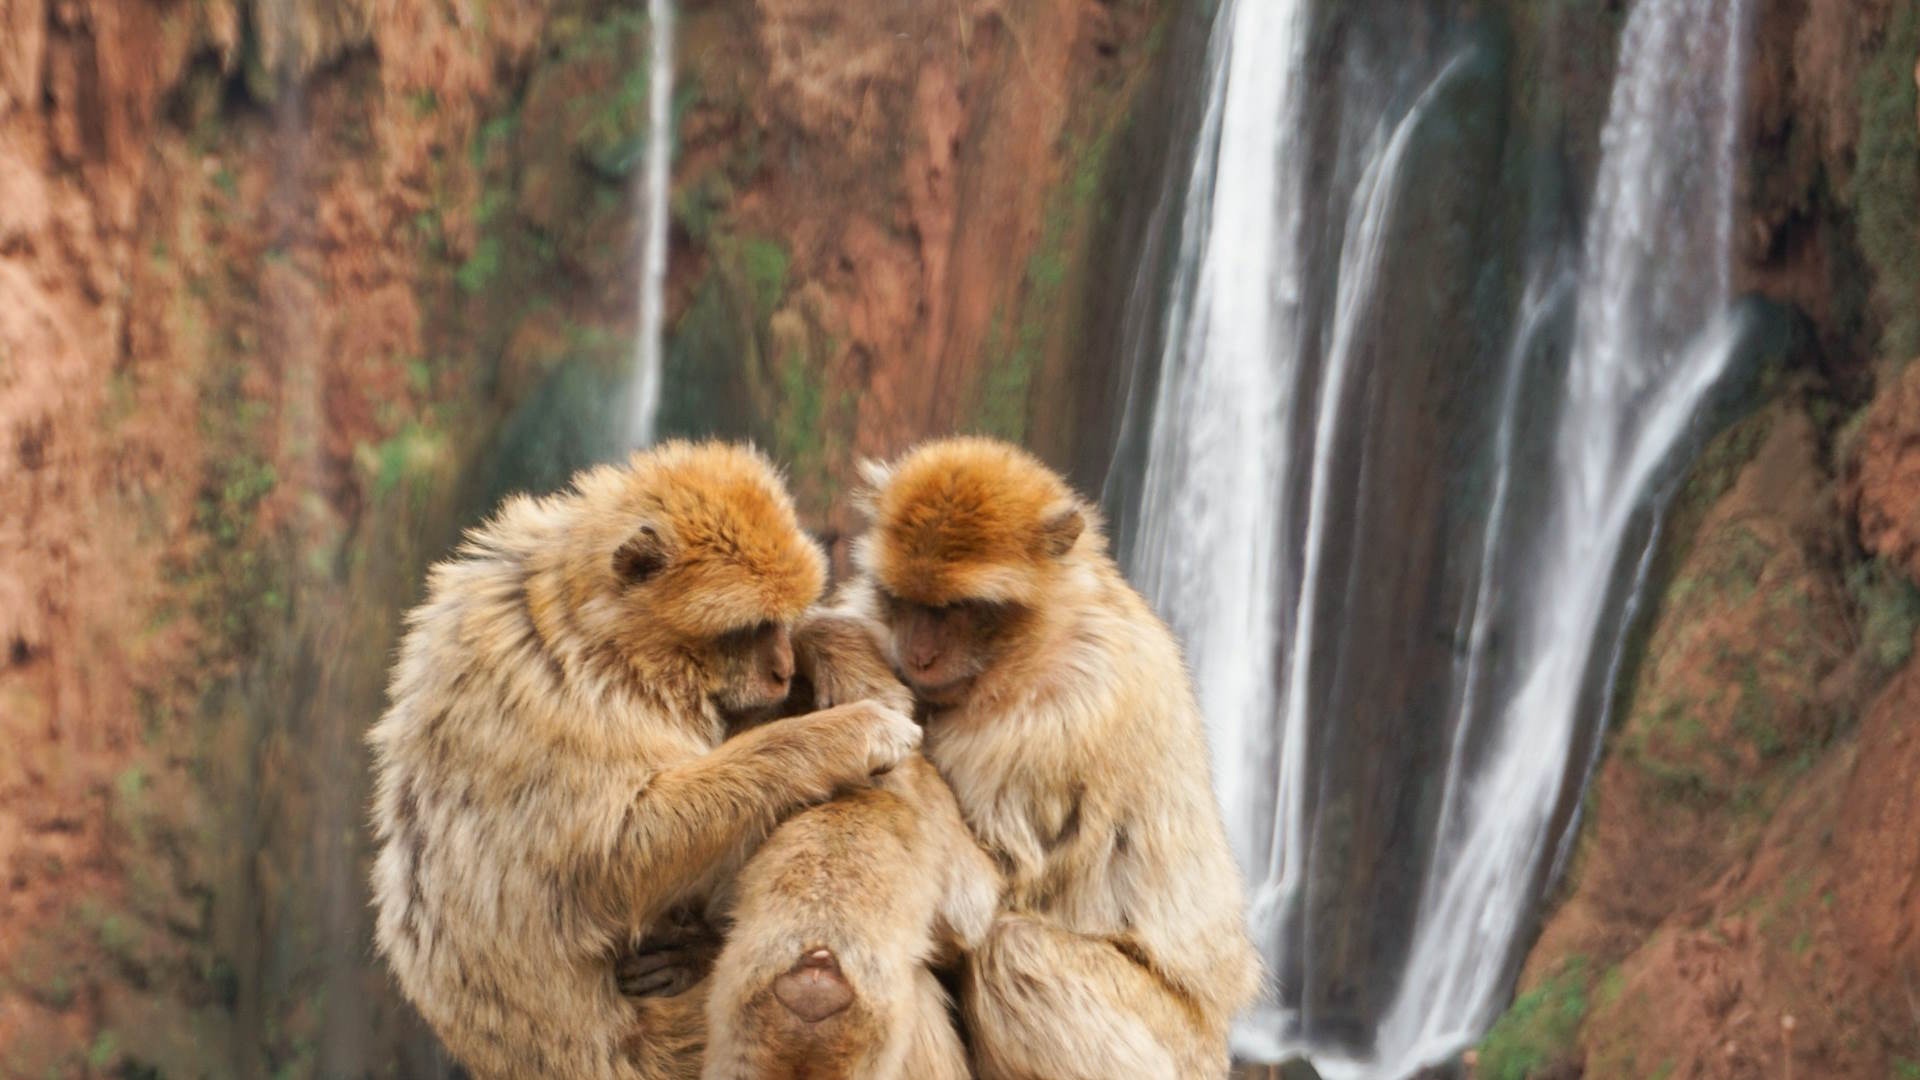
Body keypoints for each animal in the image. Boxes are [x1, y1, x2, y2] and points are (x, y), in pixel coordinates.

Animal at [367, 440, 923, 1080]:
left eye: (779, 622)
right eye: (750, 629)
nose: (782, 669)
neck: (597, 637)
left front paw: (829, 644)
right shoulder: (557, 705)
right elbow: (614, 860)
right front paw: (845, 734)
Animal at [842, 436, 1263, 1080]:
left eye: (956, 610)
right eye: (905, 601)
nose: (918, 654)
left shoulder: (1062, 718)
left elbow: (981, 897)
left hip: (1175, 1048)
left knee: (1014, 951)